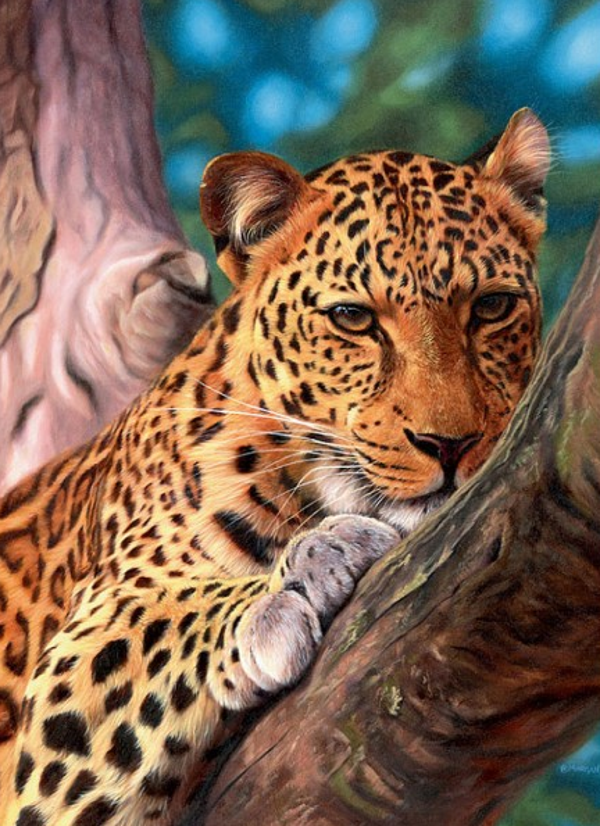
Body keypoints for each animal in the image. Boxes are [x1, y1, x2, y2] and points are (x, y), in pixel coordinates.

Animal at [0, 108, 550, 825]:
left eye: (491, 307)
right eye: (351, 318)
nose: (449, 445)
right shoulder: (64, 691)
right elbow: (163, 619)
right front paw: (300, 574)